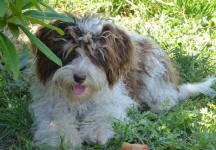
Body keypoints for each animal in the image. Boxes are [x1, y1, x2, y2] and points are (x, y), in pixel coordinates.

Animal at [29, 13, 216, 148]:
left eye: (97, 55)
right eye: (71, 53)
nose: (79, 77)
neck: (81, 98)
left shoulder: (118, 98)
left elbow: (105, 111)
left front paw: (96, 131)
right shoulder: (49, 104)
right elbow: (57, 119)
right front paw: (63, 138)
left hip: (153, 70)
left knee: (168, 95)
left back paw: (159, 106)